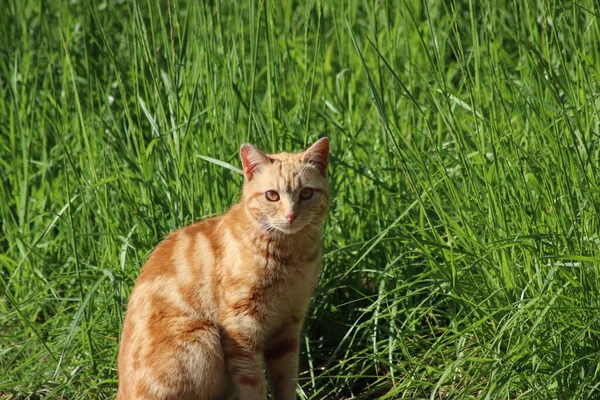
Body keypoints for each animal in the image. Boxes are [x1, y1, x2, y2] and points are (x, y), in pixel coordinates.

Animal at [115, 138, 330, 400]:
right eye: (272, 195)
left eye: (306, 193)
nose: (291, 216)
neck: (290, 256)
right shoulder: (241, 327)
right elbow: (253, 385)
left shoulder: (288, 329)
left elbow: (285, 380)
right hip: (203, 337)